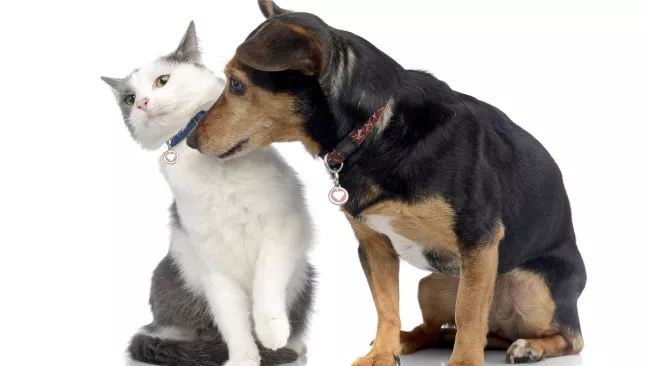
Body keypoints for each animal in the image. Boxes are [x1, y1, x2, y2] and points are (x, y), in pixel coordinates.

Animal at [100, 22, 316, 366]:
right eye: (129, 99)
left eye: (162, 80)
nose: (143, 103)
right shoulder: (211, 259)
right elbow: (231, 318)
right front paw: (244, 358)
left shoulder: (285, 224)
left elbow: (267, 280)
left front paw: (270, 332)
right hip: (174, 272)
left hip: (305, 275)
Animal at [184, 1, 588, 364]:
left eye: (236, 85)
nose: (190, 141)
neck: (373, 131)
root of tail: (505, 331)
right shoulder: (374, 246)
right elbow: (386, 306)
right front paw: (382, 353)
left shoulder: (479, 236)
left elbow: (470, 314)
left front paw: (462, 363)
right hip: (436, 284)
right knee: (440, 328)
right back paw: (409, 340)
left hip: (532, 287)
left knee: (565, 336)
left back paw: (529, 347)